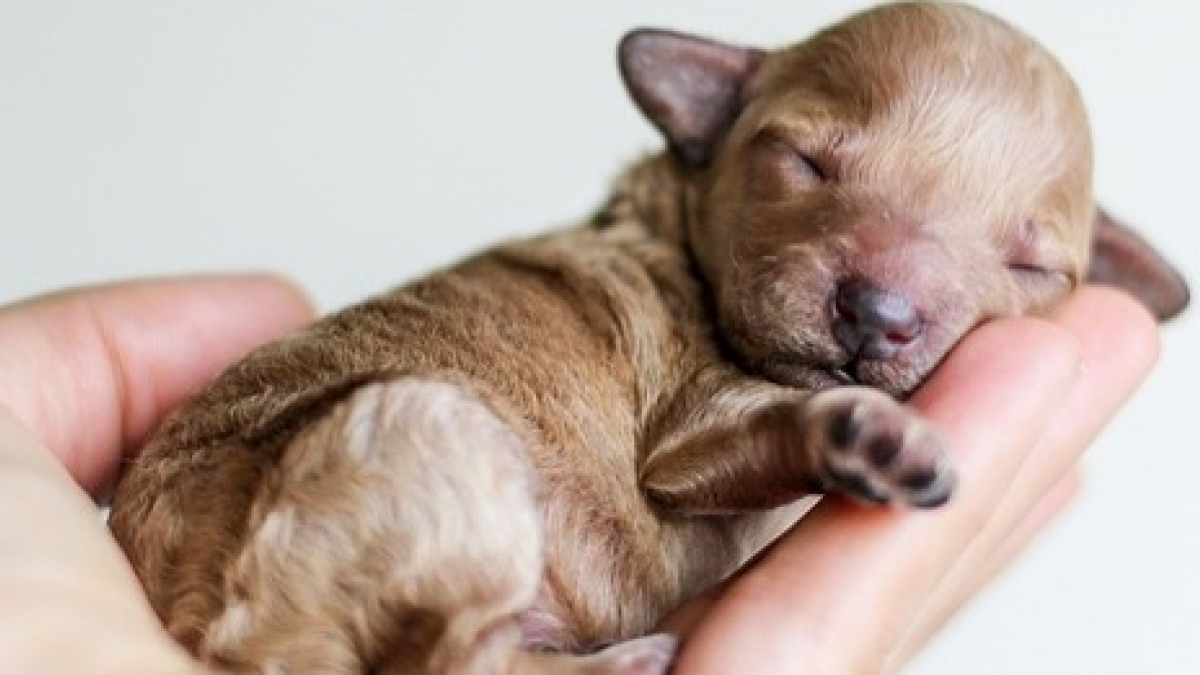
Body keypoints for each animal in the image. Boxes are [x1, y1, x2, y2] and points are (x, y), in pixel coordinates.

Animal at [108, 2, 1185, 667]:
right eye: (804, 162)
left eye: (1032, 267)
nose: (878, 313)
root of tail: (198, 613)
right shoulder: (692, 424)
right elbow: (764, 423)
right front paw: (864, 433)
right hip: (429, 438)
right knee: (450, 660)